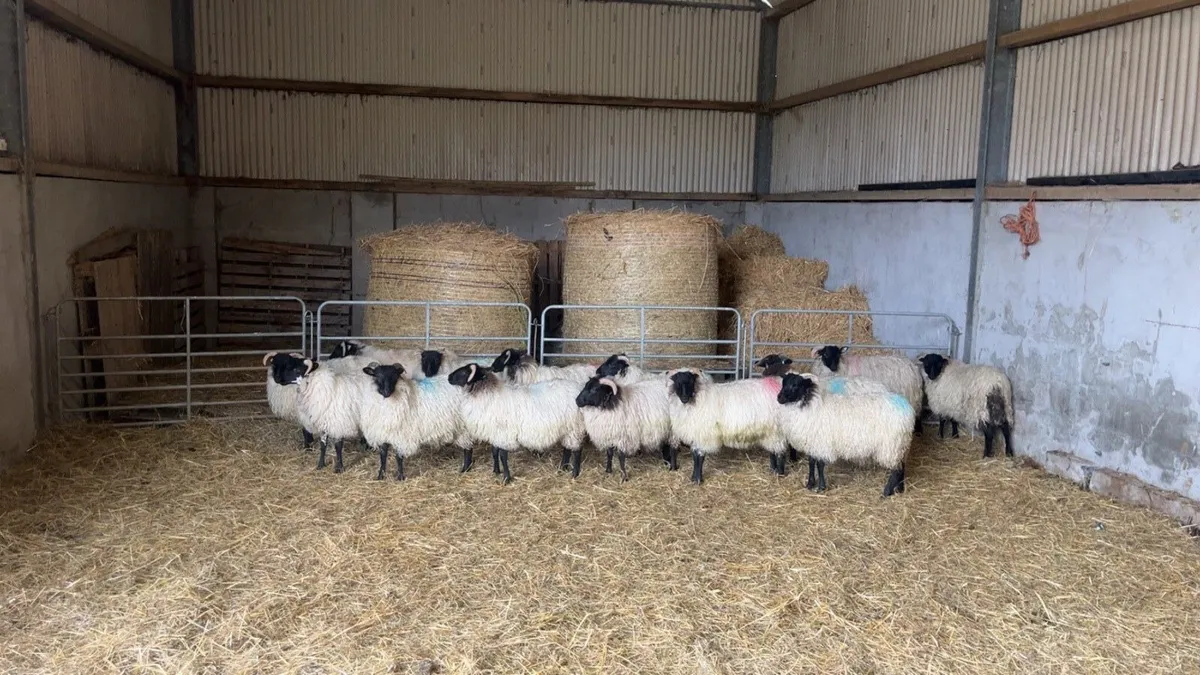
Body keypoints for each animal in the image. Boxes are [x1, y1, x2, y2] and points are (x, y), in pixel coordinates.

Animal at [448, 363, 586, 484]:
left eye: (465, 372)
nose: (449, 377)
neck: (489, 394)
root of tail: (577, 388)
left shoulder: (504, 434)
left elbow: (503, 456)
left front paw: (506, 479)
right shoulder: (496, 433)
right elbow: (494, 452)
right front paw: (496, 471)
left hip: (575, 428)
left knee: (577, 450)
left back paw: (574, 474)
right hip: (567, 429)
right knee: (567, 449)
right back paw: (562, 468)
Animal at [776, 373, 916, 497]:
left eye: (795, 385)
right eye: (784, 383)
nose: (779, 398)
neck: (809, 405)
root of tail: (908, 409)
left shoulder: (821, 443)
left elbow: (820, 465)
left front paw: (821, 487)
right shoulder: (812, 443)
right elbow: (811, 463)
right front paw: (810, 484)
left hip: (891, 445)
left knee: (896, 469)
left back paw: (886, 492)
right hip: (900, 444)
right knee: (902, 466)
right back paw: (900, 489)